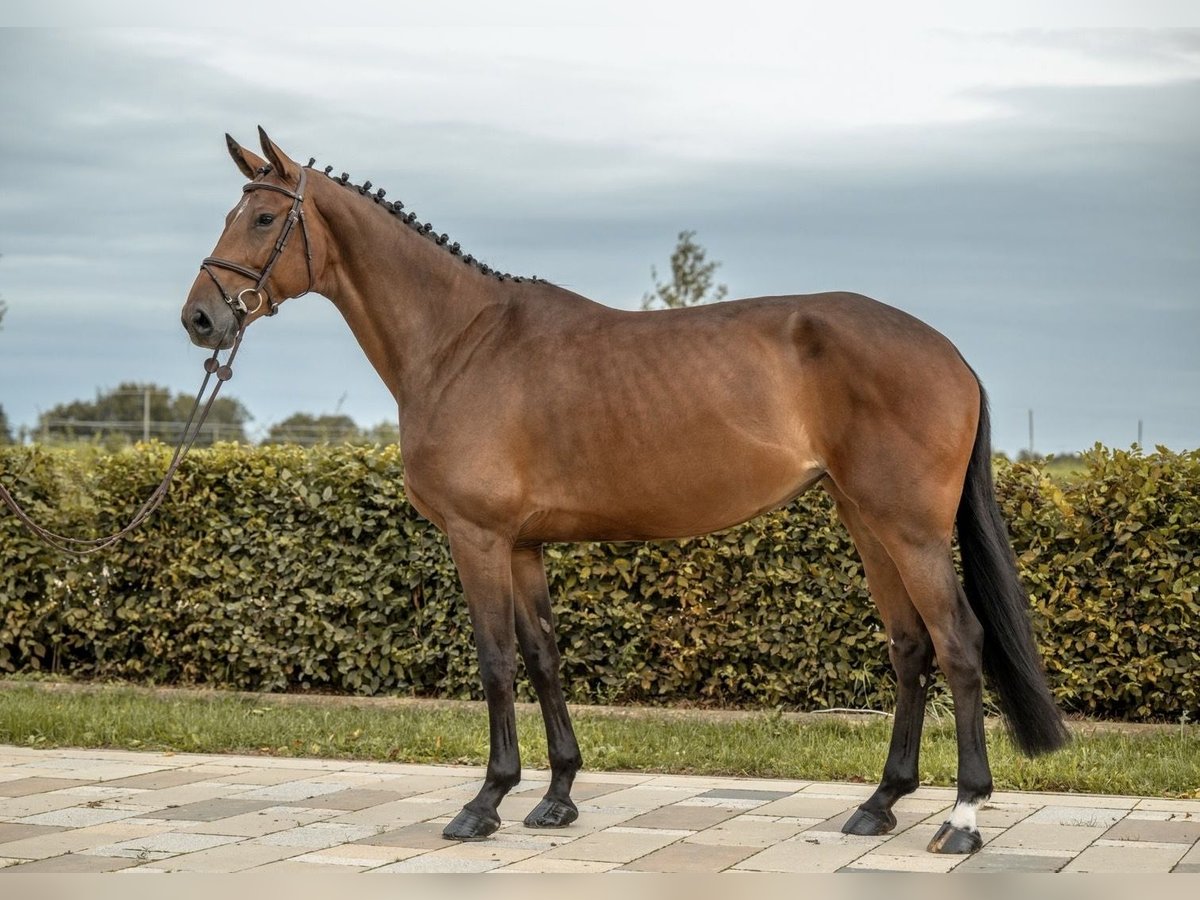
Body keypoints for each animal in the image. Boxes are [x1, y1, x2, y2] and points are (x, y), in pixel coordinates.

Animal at [180, 125, 1070, 854]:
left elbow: (495, 661)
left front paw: (484, 804)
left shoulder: (477, 537)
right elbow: (542, 656)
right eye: (232, 211)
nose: (201, 320)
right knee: (910, 648)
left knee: (958, 644)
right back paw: (880, 804)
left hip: (909, 528)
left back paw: (962, 819)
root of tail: (949, 354)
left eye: (264, 219)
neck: (461, 343)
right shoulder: (524, 544)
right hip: (865, 520)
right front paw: (556, 797)